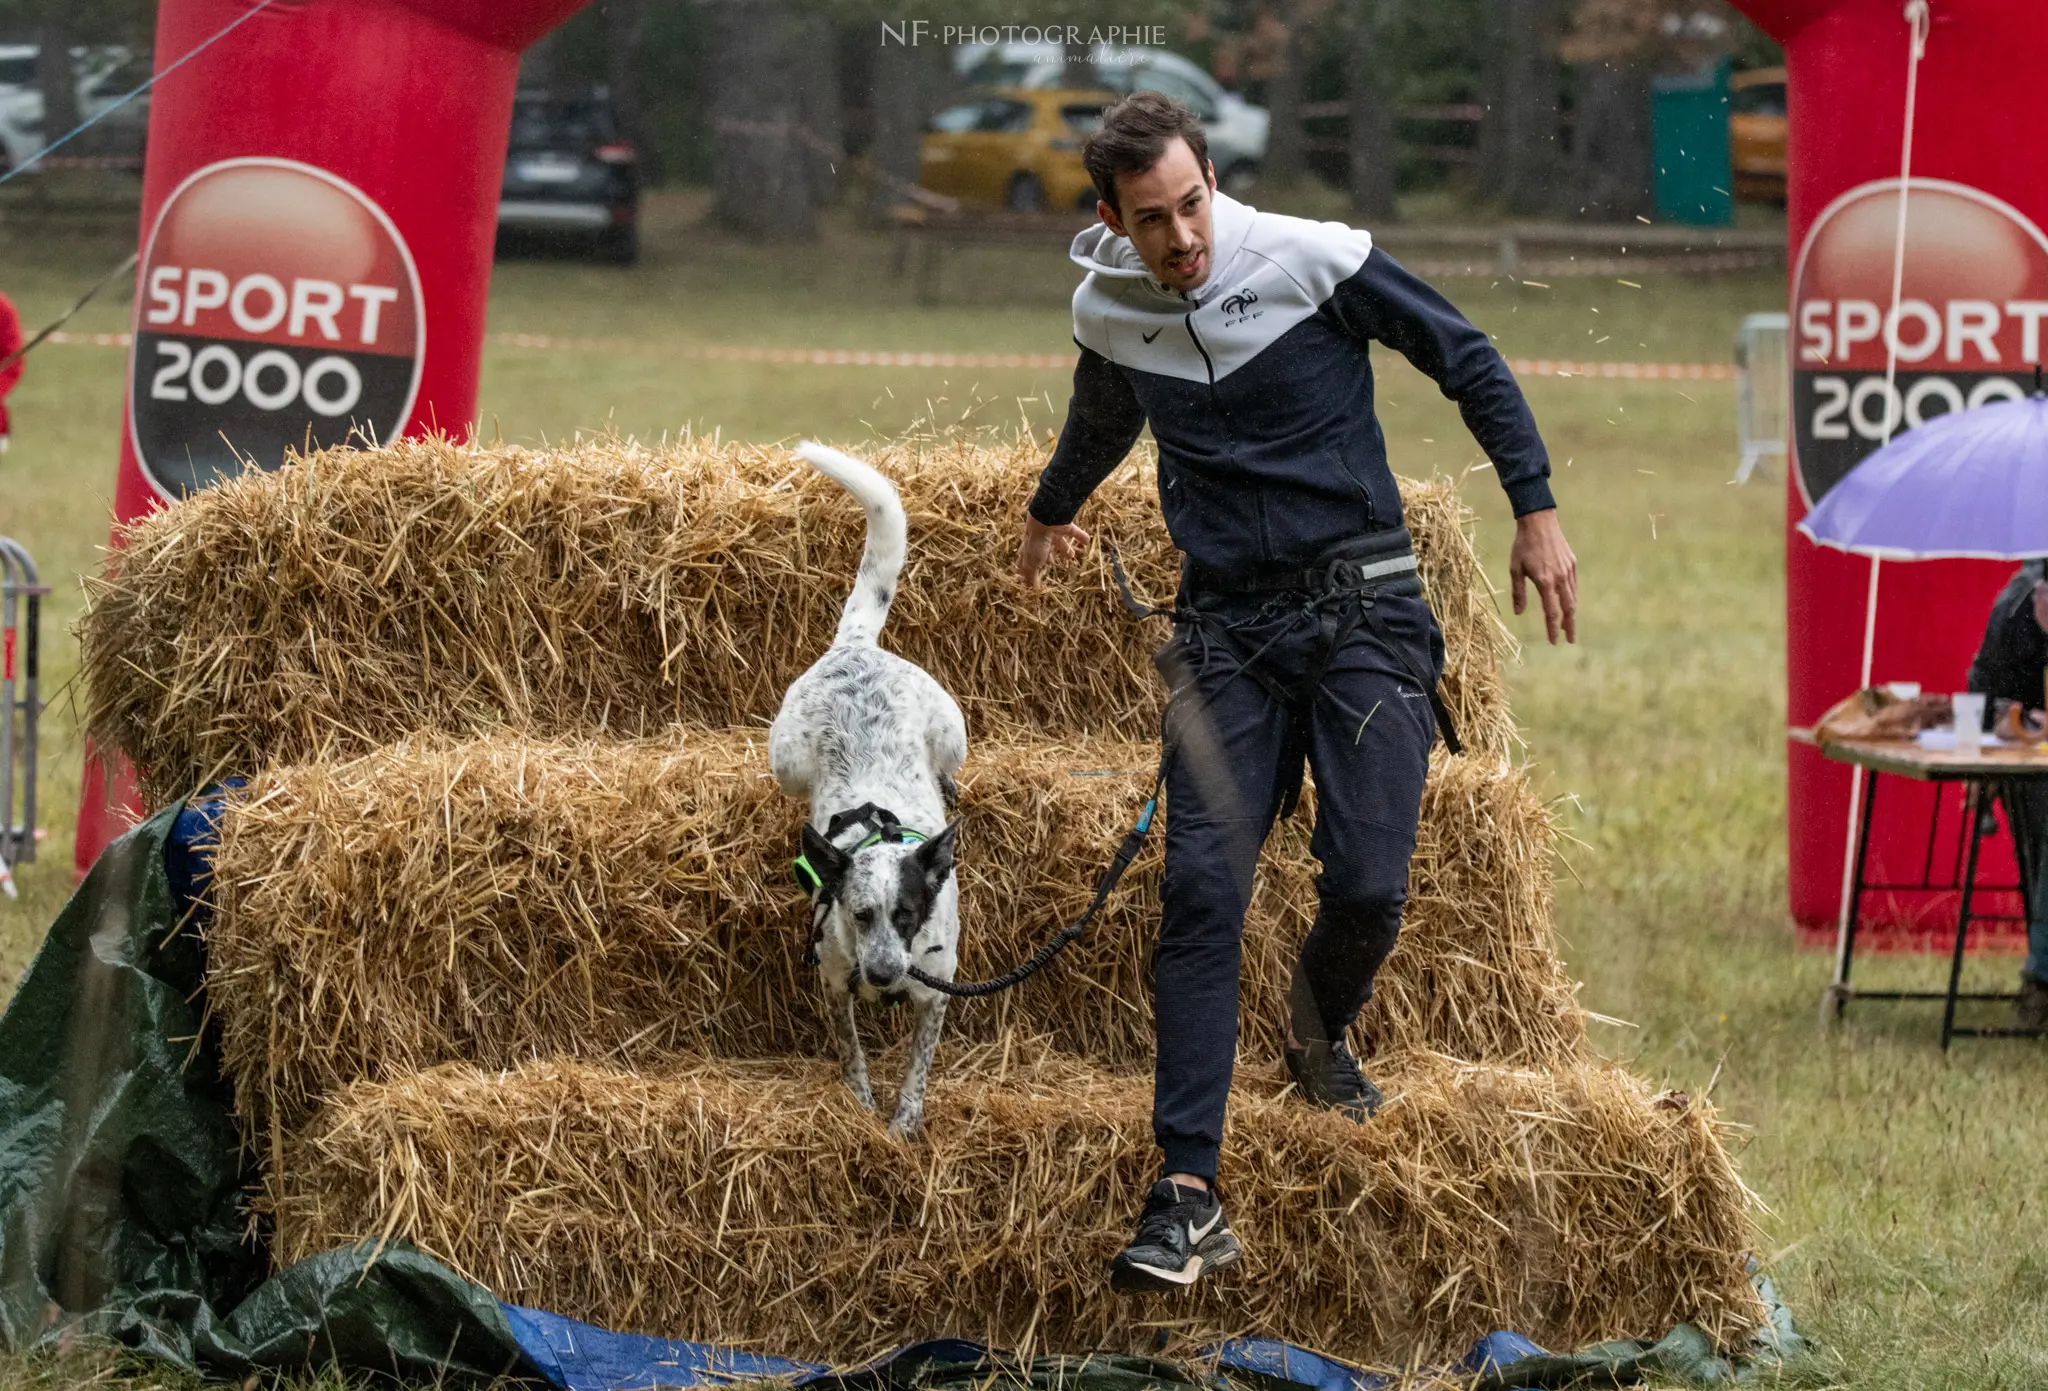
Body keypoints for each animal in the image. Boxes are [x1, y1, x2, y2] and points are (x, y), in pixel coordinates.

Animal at [770, 440, 966, 1139]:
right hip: (785, 761)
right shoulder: (833, 982)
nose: (882, 973)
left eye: (906, 914)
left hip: (954, 732)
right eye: (859, 915)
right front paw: (859, 1105)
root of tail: (855, 648)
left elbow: (918, 1067)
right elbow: (850, 1050)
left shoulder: (936, 992)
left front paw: (904, 1122)